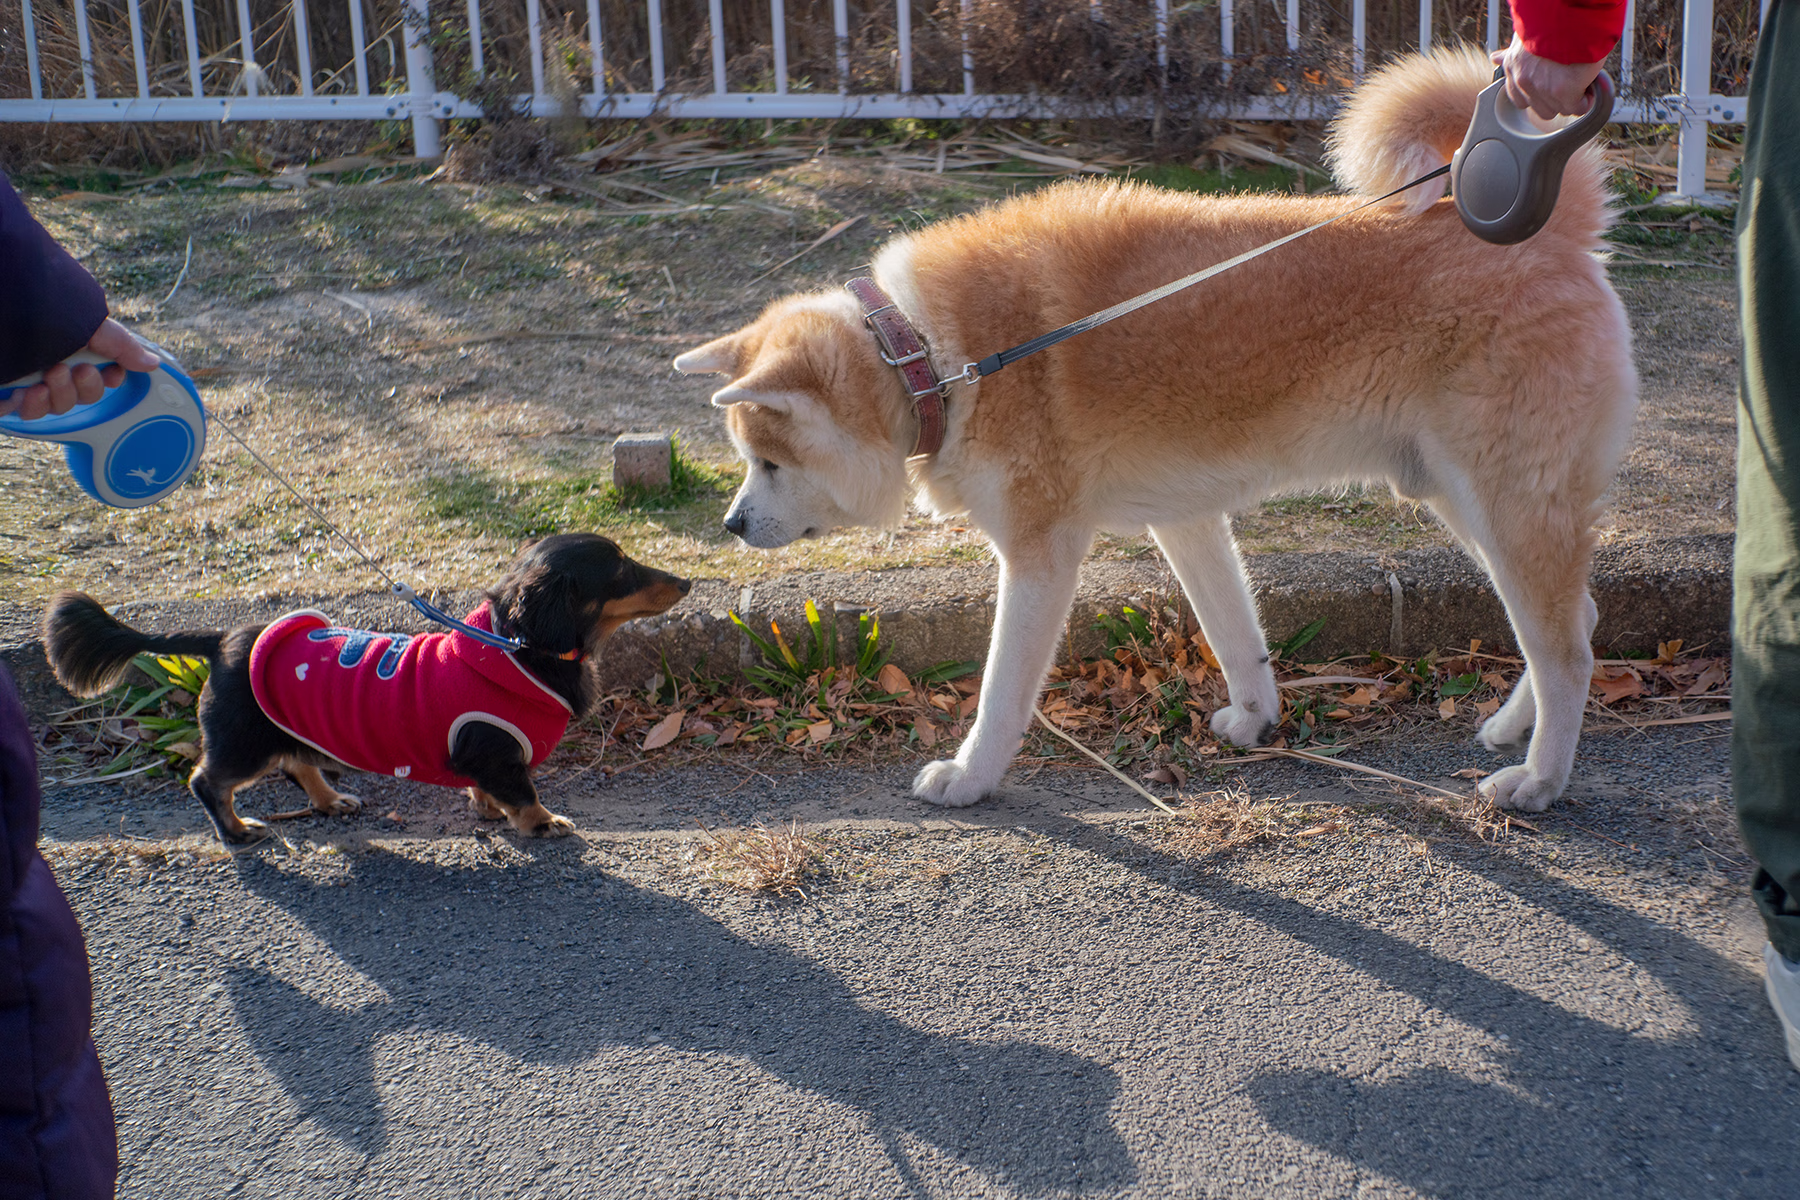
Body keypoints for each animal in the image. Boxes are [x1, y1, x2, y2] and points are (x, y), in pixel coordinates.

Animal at [44, 533, 691, 844]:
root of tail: (226, 638)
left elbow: (487, 790)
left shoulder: (482, 757)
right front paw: (541, 823)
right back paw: (237, 832)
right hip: (242, 742)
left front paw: (487, 810)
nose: (686, 581)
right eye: (620, 568)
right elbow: (523, 793)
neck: (516, 650)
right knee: (209, 782)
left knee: (298, 763)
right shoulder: (496, 751)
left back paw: (330, 800)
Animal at [673, 48, 1636, 814]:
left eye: (768, 461)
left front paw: (972, 775)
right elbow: (1235, 634)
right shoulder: (1188, 520)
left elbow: (1002, 691)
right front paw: (1254, 719)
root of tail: (1557, 234)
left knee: (1566, 649)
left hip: (1505, 506)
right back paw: (1513, 729)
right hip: (1463, 502)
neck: (927, 358)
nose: (730, 524)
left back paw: (1540, 779)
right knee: (1578, 620)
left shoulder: (1041, 554)